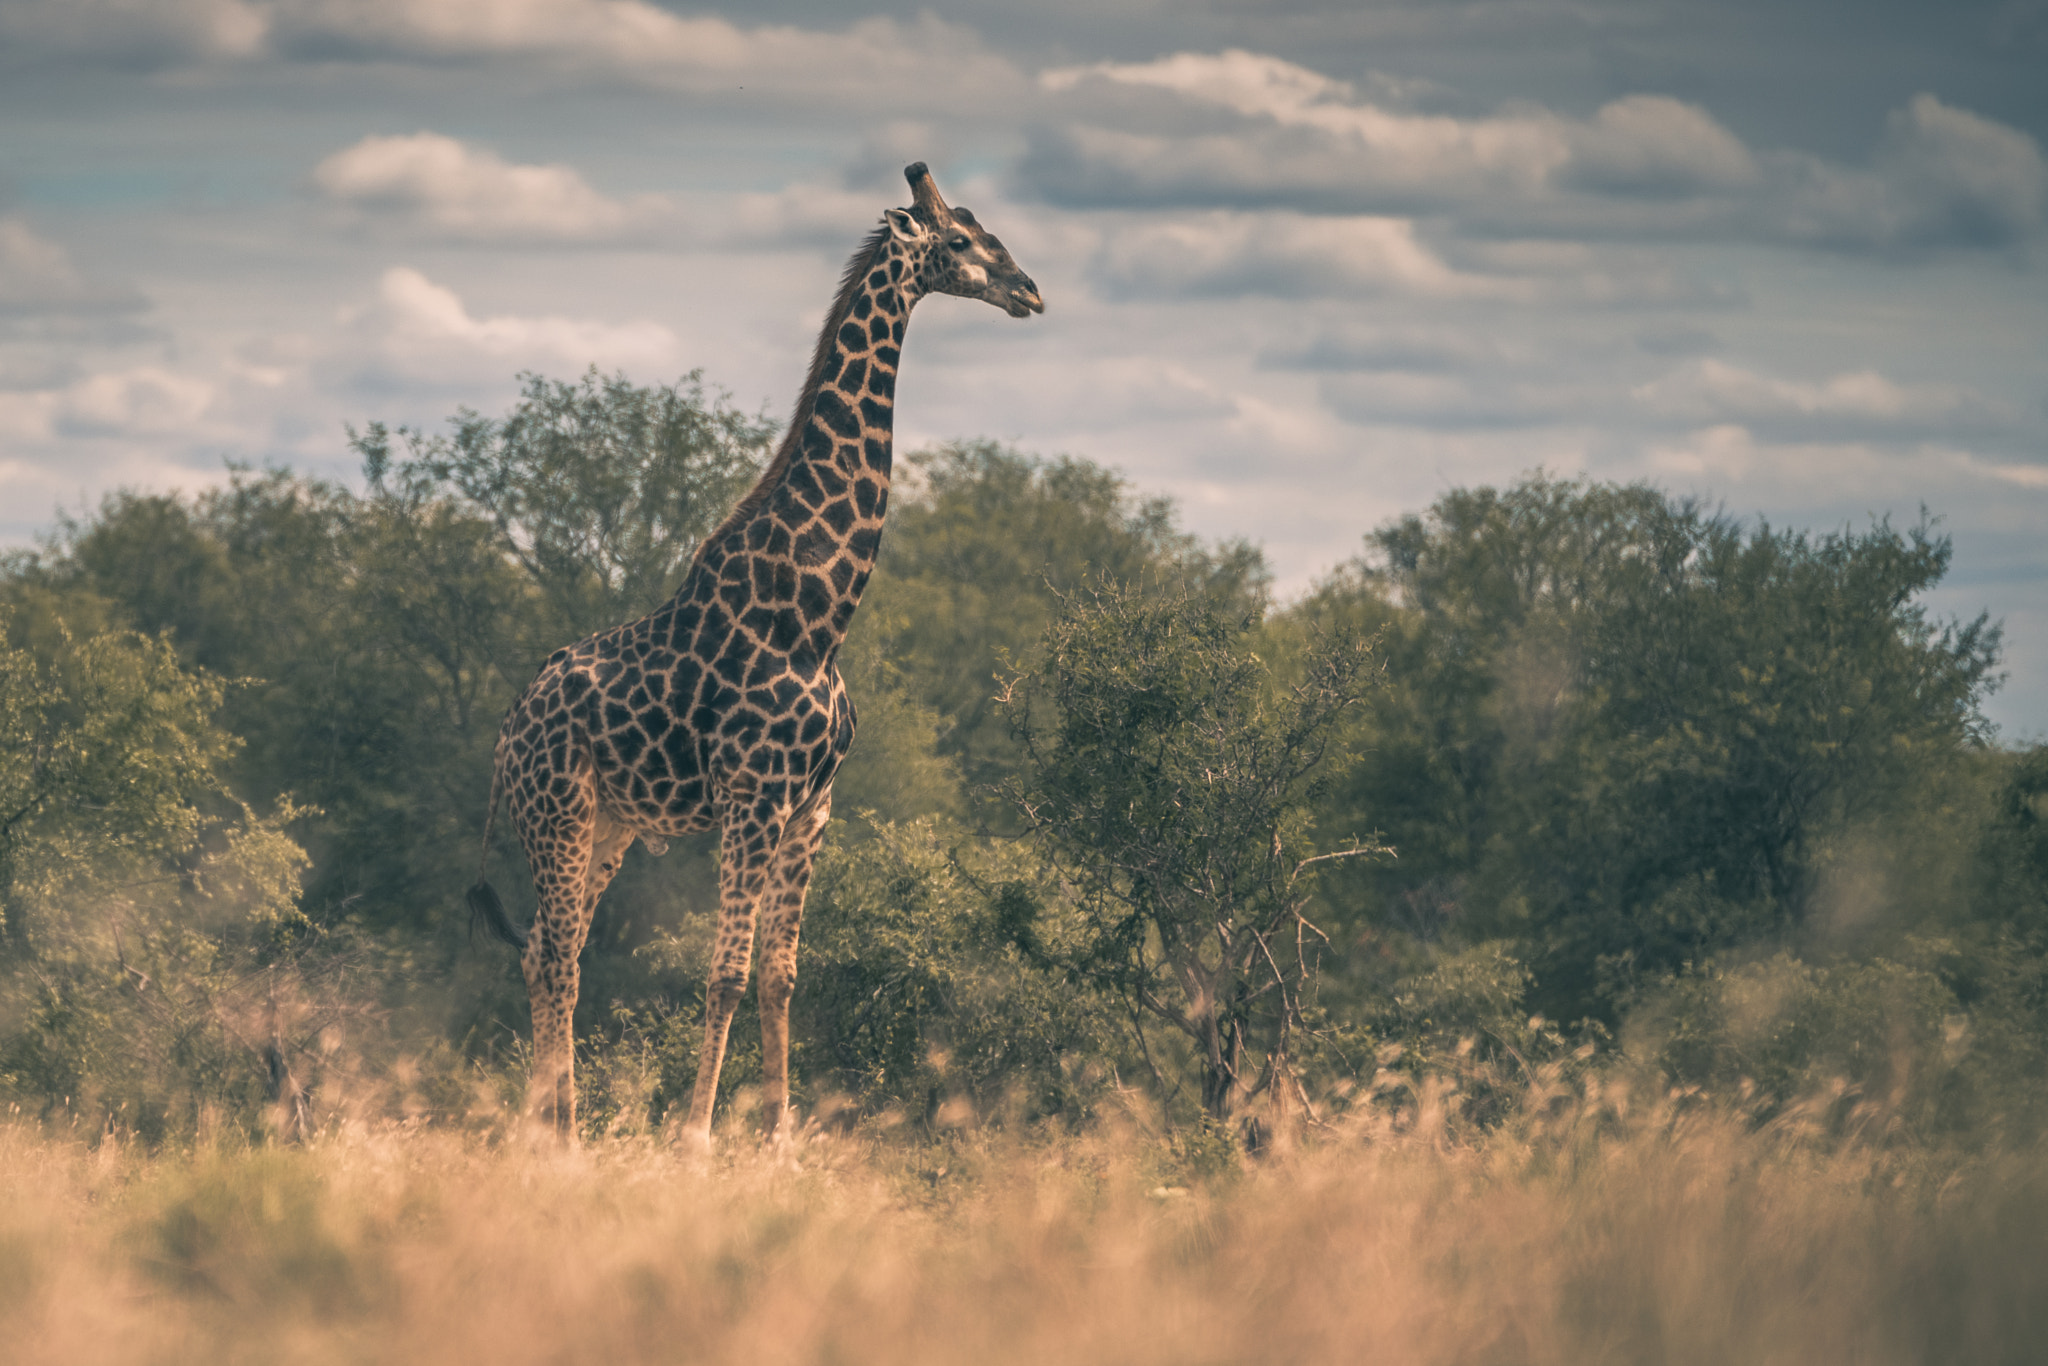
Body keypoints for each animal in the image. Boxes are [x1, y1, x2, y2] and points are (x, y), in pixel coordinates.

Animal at [465, 163, 1042, 1143]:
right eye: (963, 241)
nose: (1030, 292)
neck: (818, 608)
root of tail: (508, 732)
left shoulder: (812, 806)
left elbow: (779, 976)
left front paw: (779, 1139)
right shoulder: (753, 796)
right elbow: (725, 975)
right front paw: (697, 1137)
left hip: (611, 823)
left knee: (545, 948)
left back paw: (549, 1128)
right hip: (559, 813)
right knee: (560, 957)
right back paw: (563, 1137)